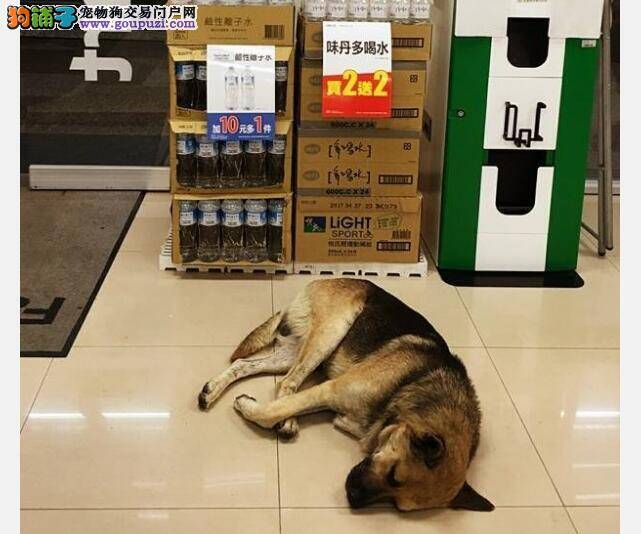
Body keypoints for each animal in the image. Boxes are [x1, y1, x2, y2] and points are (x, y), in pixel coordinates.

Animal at [198, 278, 492, 512]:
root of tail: (326, 280)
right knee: (288, 382)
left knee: (251, 367)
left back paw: (212, 390)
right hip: (331, 332)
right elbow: (272, 411)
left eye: (397, 504)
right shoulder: (330, 389)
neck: (412, 385)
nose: (352, 498)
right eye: (394, 475)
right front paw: (249, 407)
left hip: (294, 352)